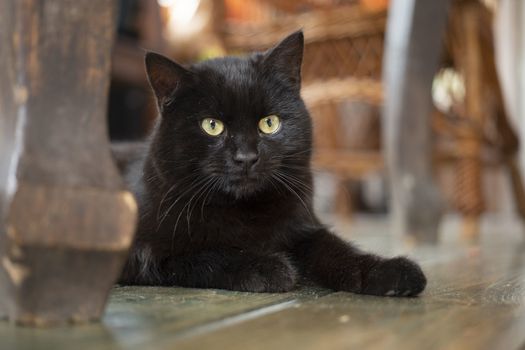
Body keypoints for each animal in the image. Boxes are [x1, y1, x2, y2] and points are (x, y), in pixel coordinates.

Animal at [118, 31, 426, 296]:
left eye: (269, 123)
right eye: (212, 126)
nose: (246, 157)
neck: (245, 211)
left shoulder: (304, 227)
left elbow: (337, 249)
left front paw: (389, 271)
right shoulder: (142, 252)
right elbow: (205, 254)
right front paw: (270, 267)